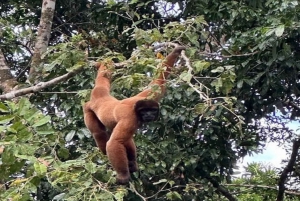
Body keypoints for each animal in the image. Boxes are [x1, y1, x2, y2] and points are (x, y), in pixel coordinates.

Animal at [82, 45, 185, 184]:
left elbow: (158, 82)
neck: (136, 108)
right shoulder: (130, 118)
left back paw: (132, 164)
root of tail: (100, 97)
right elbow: (114, 142)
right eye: (144, 111)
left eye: (152, 110)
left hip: (101, 90)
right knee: (99, 133)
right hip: (88, 110)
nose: (149, 115)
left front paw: (176, 52)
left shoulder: (147, 97)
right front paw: (123, 176)